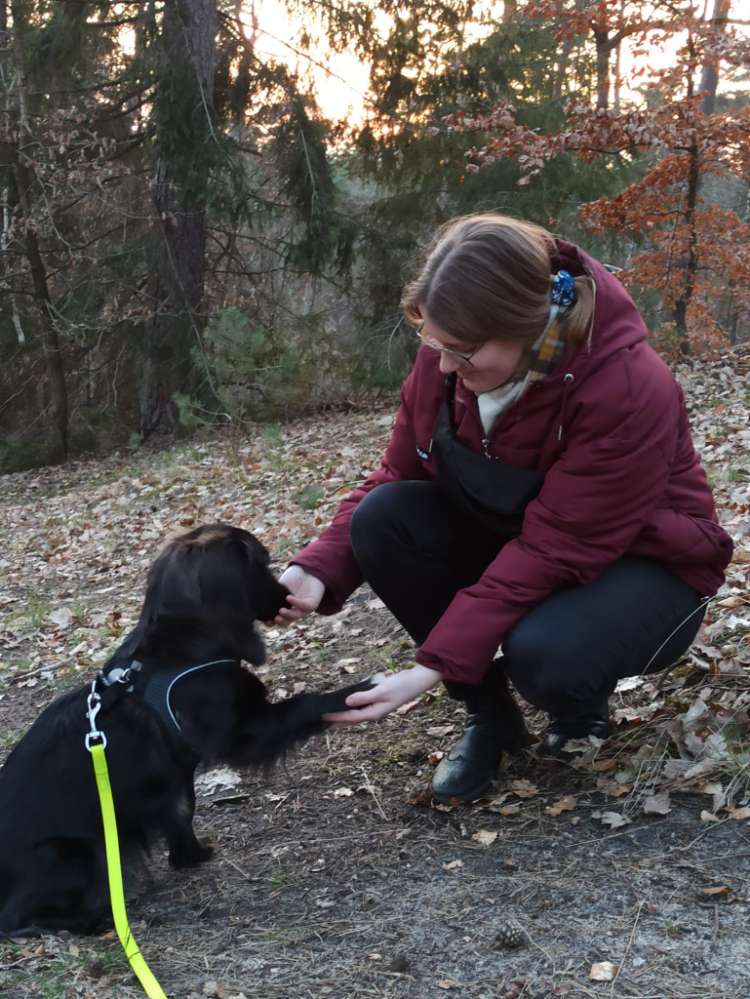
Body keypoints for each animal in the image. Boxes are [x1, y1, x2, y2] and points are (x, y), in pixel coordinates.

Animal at [0, 524, 366, 936]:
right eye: (261, 562)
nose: (289, 596)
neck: (183, 647)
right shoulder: (244, 734)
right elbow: (305, 704)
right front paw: (357, 692)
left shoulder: (177, 776)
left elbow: (182, 810)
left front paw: (190, 856)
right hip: (81, 850)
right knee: (17, 918)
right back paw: (96, 920)